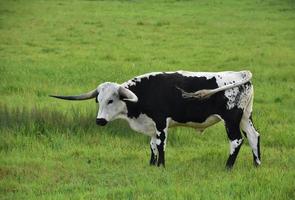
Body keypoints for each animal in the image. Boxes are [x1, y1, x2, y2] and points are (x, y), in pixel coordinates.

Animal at [50, 70, 262, 169]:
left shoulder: (161, 123)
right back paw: (257, 165)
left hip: (231, 119)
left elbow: (160, 145)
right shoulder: (151, 126)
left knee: (236, 140)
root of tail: (239, 74)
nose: (99, 121)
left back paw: (227, 167)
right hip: (245, 117)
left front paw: (161, 166)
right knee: (254, 136)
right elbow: (152, 145)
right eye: (98, 100)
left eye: (111, 100)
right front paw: (152, 166)